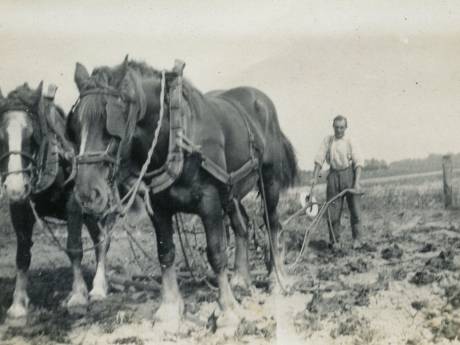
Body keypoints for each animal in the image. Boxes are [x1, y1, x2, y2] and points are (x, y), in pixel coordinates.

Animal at [68, 57, 298, 330]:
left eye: (110, 123)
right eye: (75, 125)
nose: (87, 194)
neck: (175, 136)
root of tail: (262, 101)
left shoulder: (210, 202)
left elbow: (216, 253)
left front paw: (228, 309)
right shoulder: (158, 208)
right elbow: (165, 252)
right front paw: (168, 309)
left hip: (268, 182)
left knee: (273, 225)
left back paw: (277, 278)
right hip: (232, 191)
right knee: (242, 224)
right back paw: (241, 278)